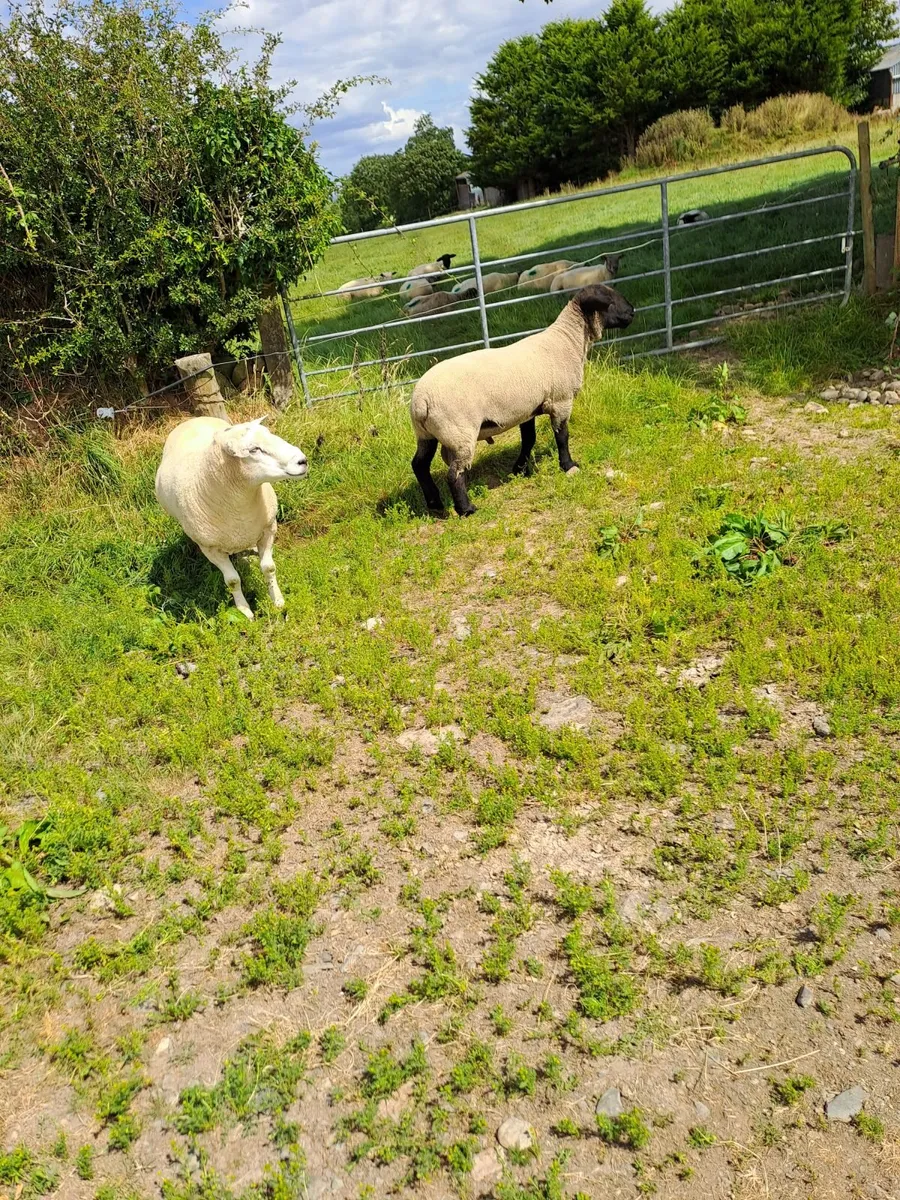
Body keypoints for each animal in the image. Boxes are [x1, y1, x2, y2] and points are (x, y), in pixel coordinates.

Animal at [154, 415, 308, 620]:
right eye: (254, 449)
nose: (302, 461)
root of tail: (192, 419)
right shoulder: (210, 549)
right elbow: (233, 580)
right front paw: (245, 611)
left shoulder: (269, 528)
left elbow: (269, 568)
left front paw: (278, 601)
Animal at [409, 284, 635, 517]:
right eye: (608, 299)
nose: (632, 311)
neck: (568, 340)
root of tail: (421, 401)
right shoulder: (561, 401)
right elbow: (562, 437)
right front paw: (568, 465)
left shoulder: (528, 409)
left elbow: (529, 439)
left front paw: (519, 469)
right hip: (460, 432)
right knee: (454, 473)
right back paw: (466, 509)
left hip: (427, 434)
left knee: (419, 465)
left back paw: (435, 502)